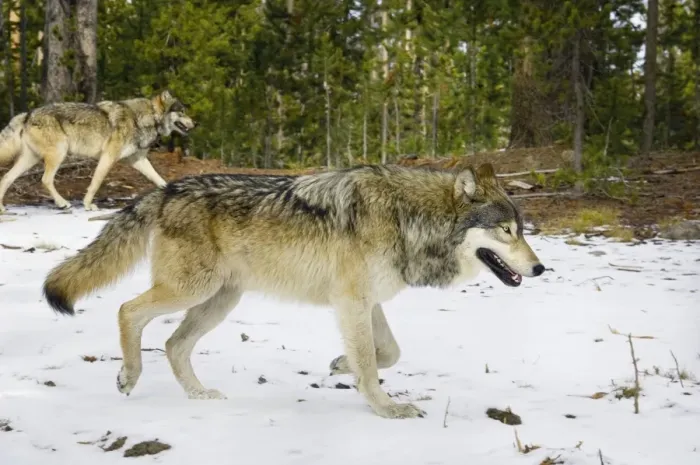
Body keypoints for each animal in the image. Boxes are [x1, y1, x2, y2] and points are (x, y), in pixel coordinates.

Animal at [0, 90, 196, 213]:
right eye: (182, 112)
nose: (195, 123)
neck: (148, 118)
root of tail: (27, 114)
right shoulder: (108, 157)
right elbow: (95, 183)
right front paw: (88, 205)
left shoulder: (138, 160)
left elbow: (159, 179)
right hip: (59, 154)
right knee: (45, 180)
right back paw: (63, 203)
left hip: (31, 160)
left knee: (6, 178)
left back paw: (2, 209)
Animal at [42, 163, 545, 419]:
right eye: (506, 232)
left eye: (521, 230)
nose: (541, 268)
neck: (409, 217)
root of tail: (167, 190)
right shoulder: (352, 301)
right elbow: (372, 362)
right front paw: (386, 408)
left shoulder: (364, 301)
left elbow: (386, 352)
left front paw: (341, 365)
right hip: (190, 290)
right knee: (128, 310)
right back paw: (128, 377)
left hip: (219, 301)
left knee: (172, 344)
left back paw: (200, 397)